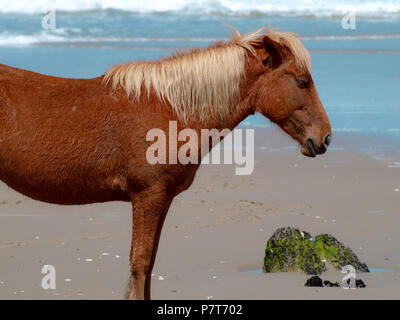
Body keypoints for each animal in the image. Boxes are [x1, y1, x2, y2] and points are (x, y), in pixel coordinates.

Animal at [0, 28, 332, 300]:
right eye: (302, 81)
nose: (325, 138)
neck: (170, 109)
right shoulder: (148, 196)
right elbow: (140, 261)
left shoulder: (161, 198)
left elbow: (149, 264)